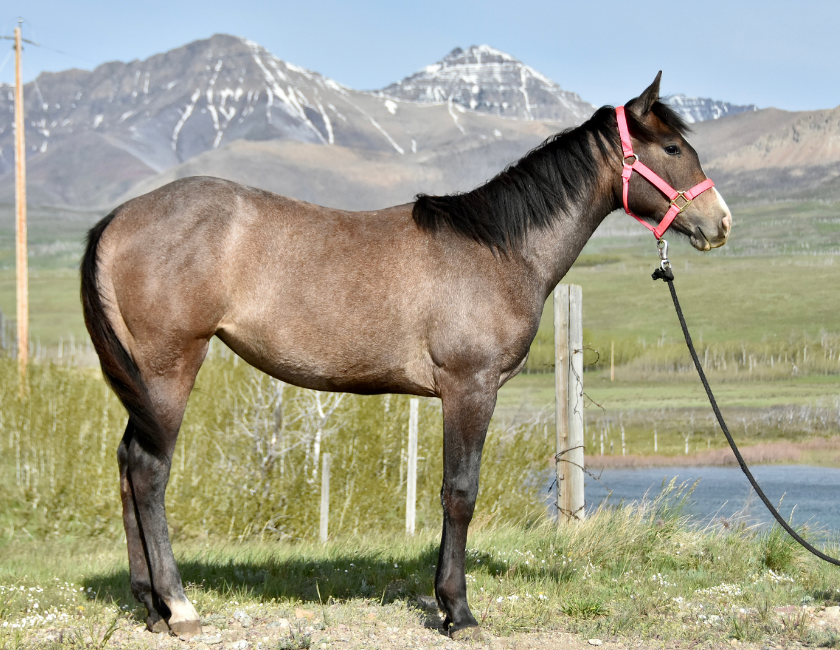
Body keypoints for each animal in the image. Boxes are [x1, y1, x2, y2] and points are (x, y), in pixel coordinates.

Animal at [80, 72, 731, 639]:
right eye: (673, 147)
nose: (720, 222)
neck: (497, 249)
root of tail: (118, 218)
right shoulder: (470, 387)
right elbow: (460, 494)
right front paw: (458, 611)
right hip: (170, 367)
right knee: (149, 472)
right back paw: (180, 608)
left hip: (142, 381)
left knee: (126, 464)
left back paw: (150, 606)